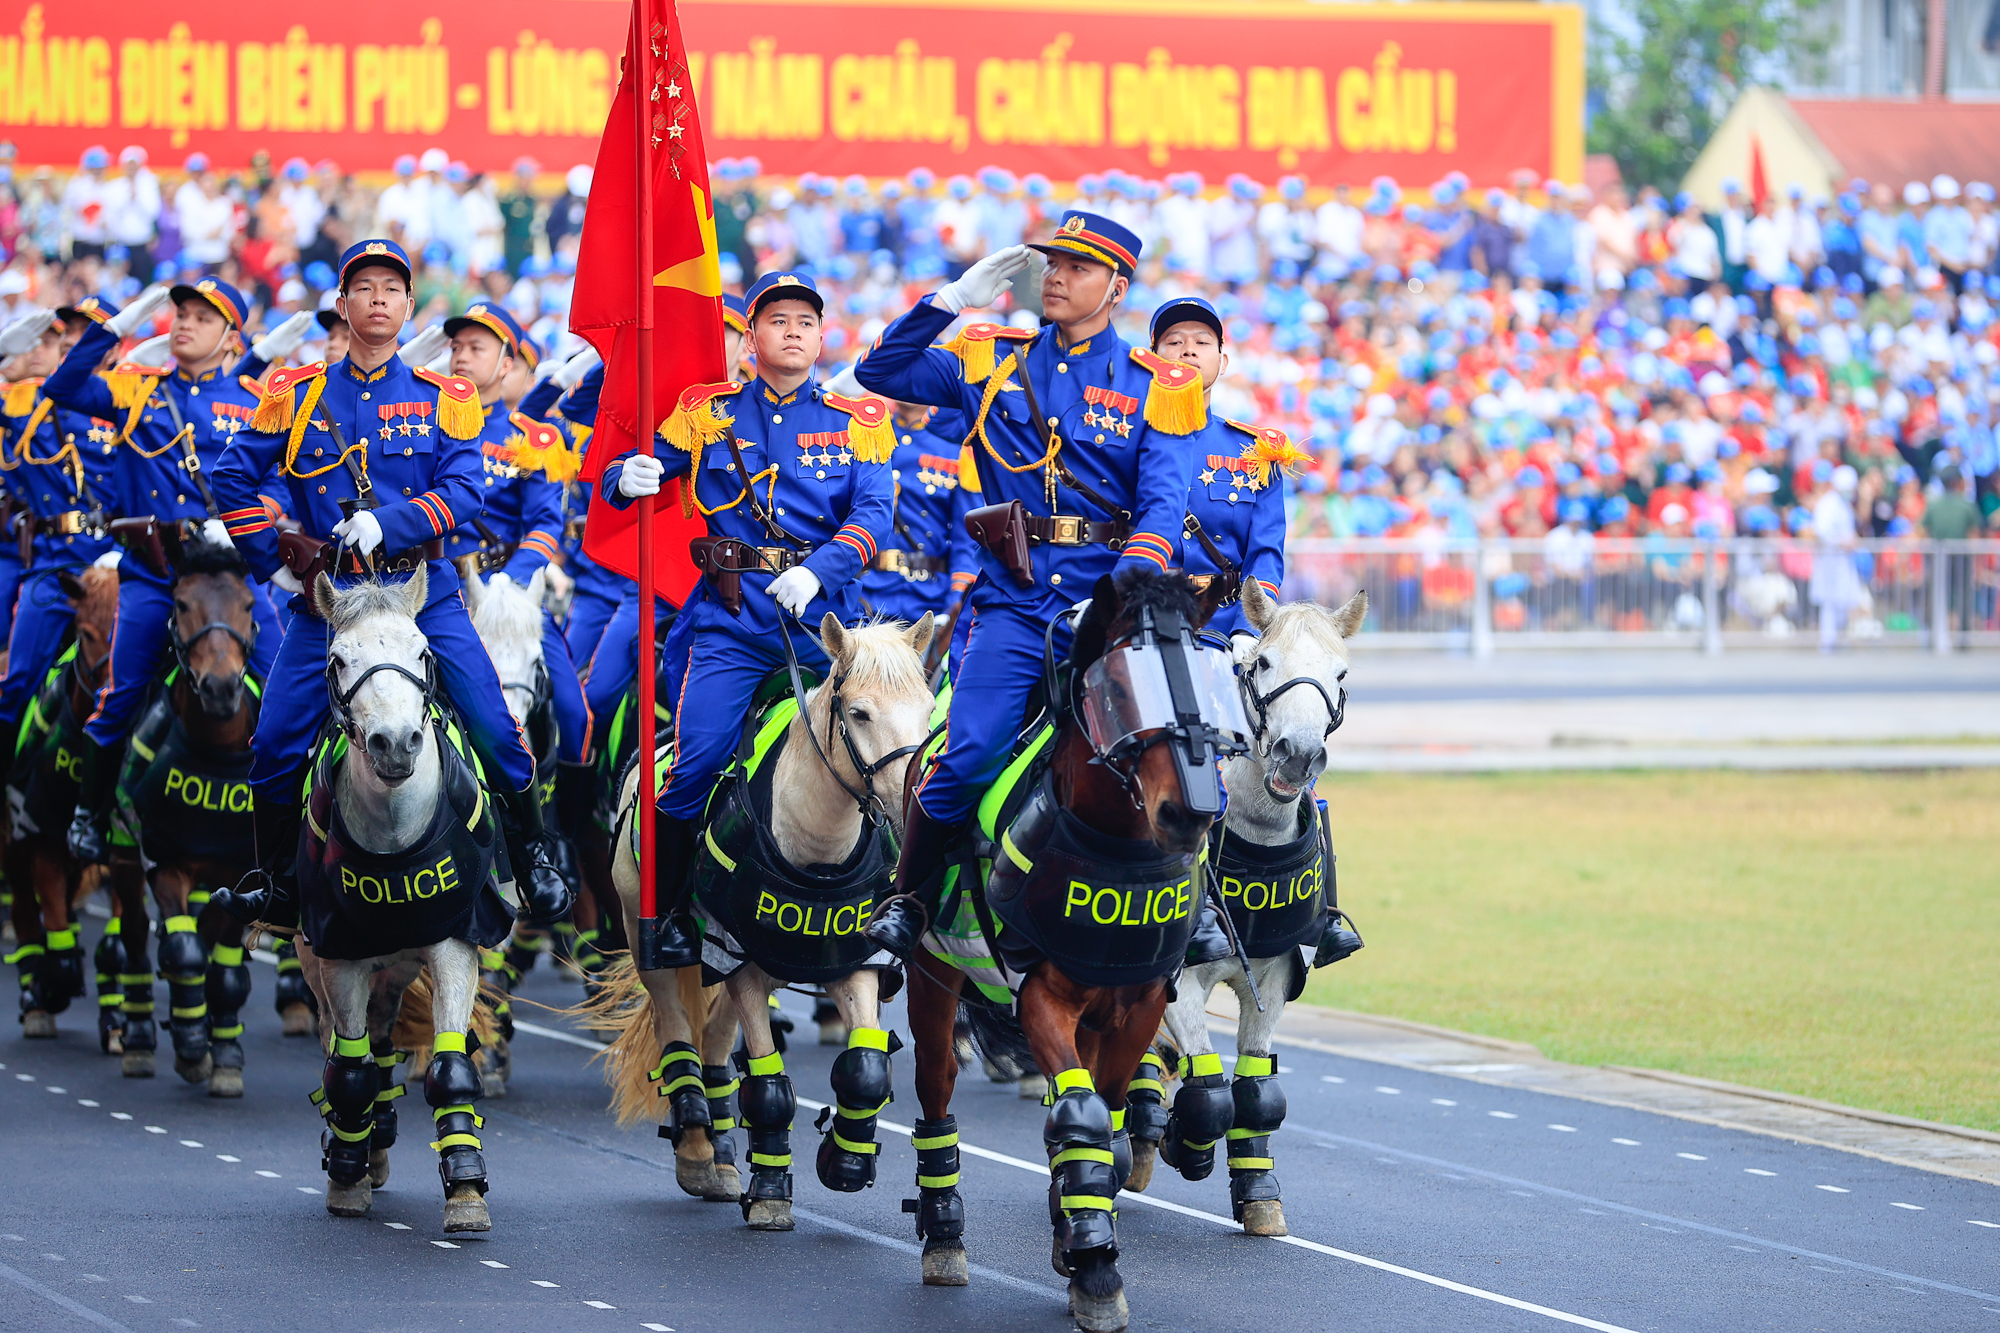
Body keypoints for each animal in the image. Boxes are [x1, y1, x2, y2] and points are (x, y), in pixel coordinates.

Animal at [292, 564, 504, 1232]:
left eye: (422, 650)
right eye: (337, 659)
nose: (395, 742)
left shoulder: (455, 943)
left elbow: (450, 1065)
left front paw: (466, 1189)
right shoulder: (338, 956)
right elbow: (349, 1072)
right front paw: (347, 1177)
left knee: (381, 1034)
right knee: (344, 1048)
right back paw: (354, 1146)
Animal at [592, 612, 936, 1224]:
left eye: (927, 708)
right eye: (859, 713)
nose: (909, 804)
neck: (815, 848)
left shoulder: (853, 964)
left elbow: (867, 1068)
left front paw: (845, 1161)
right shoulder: (741, 963)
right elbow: (770, 1087)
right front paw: (772, 1194)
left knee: (713, 1045)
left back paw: (724, 1155)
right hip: (648, 937)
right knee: (678, 1034)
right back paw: (698, 1151)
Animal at [908, 564, 1232, 1328]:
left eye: (1210, 680)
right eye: (1121, 689)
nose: (1190, 812)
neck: (1116, 843)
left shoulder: (1137, 1005)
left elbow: (1103, 1121)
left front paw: (1080, 1237)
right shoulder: (1041, 999)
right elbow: (1080, 1113)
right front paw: (1095, 1268)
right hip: (933, 977)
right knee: (936, 1086)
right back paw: (944, 1235)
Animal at [1144, 580, 1360, 1232]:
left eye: (1341, 673)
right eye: (1261, 663)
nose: (1298, 754)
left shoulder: (1274, 979)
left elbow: (1255, 1093)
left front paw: (1260, 1193)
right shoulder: (1181, 984)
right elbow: (1210, 1093)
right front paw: (1183, 1142)